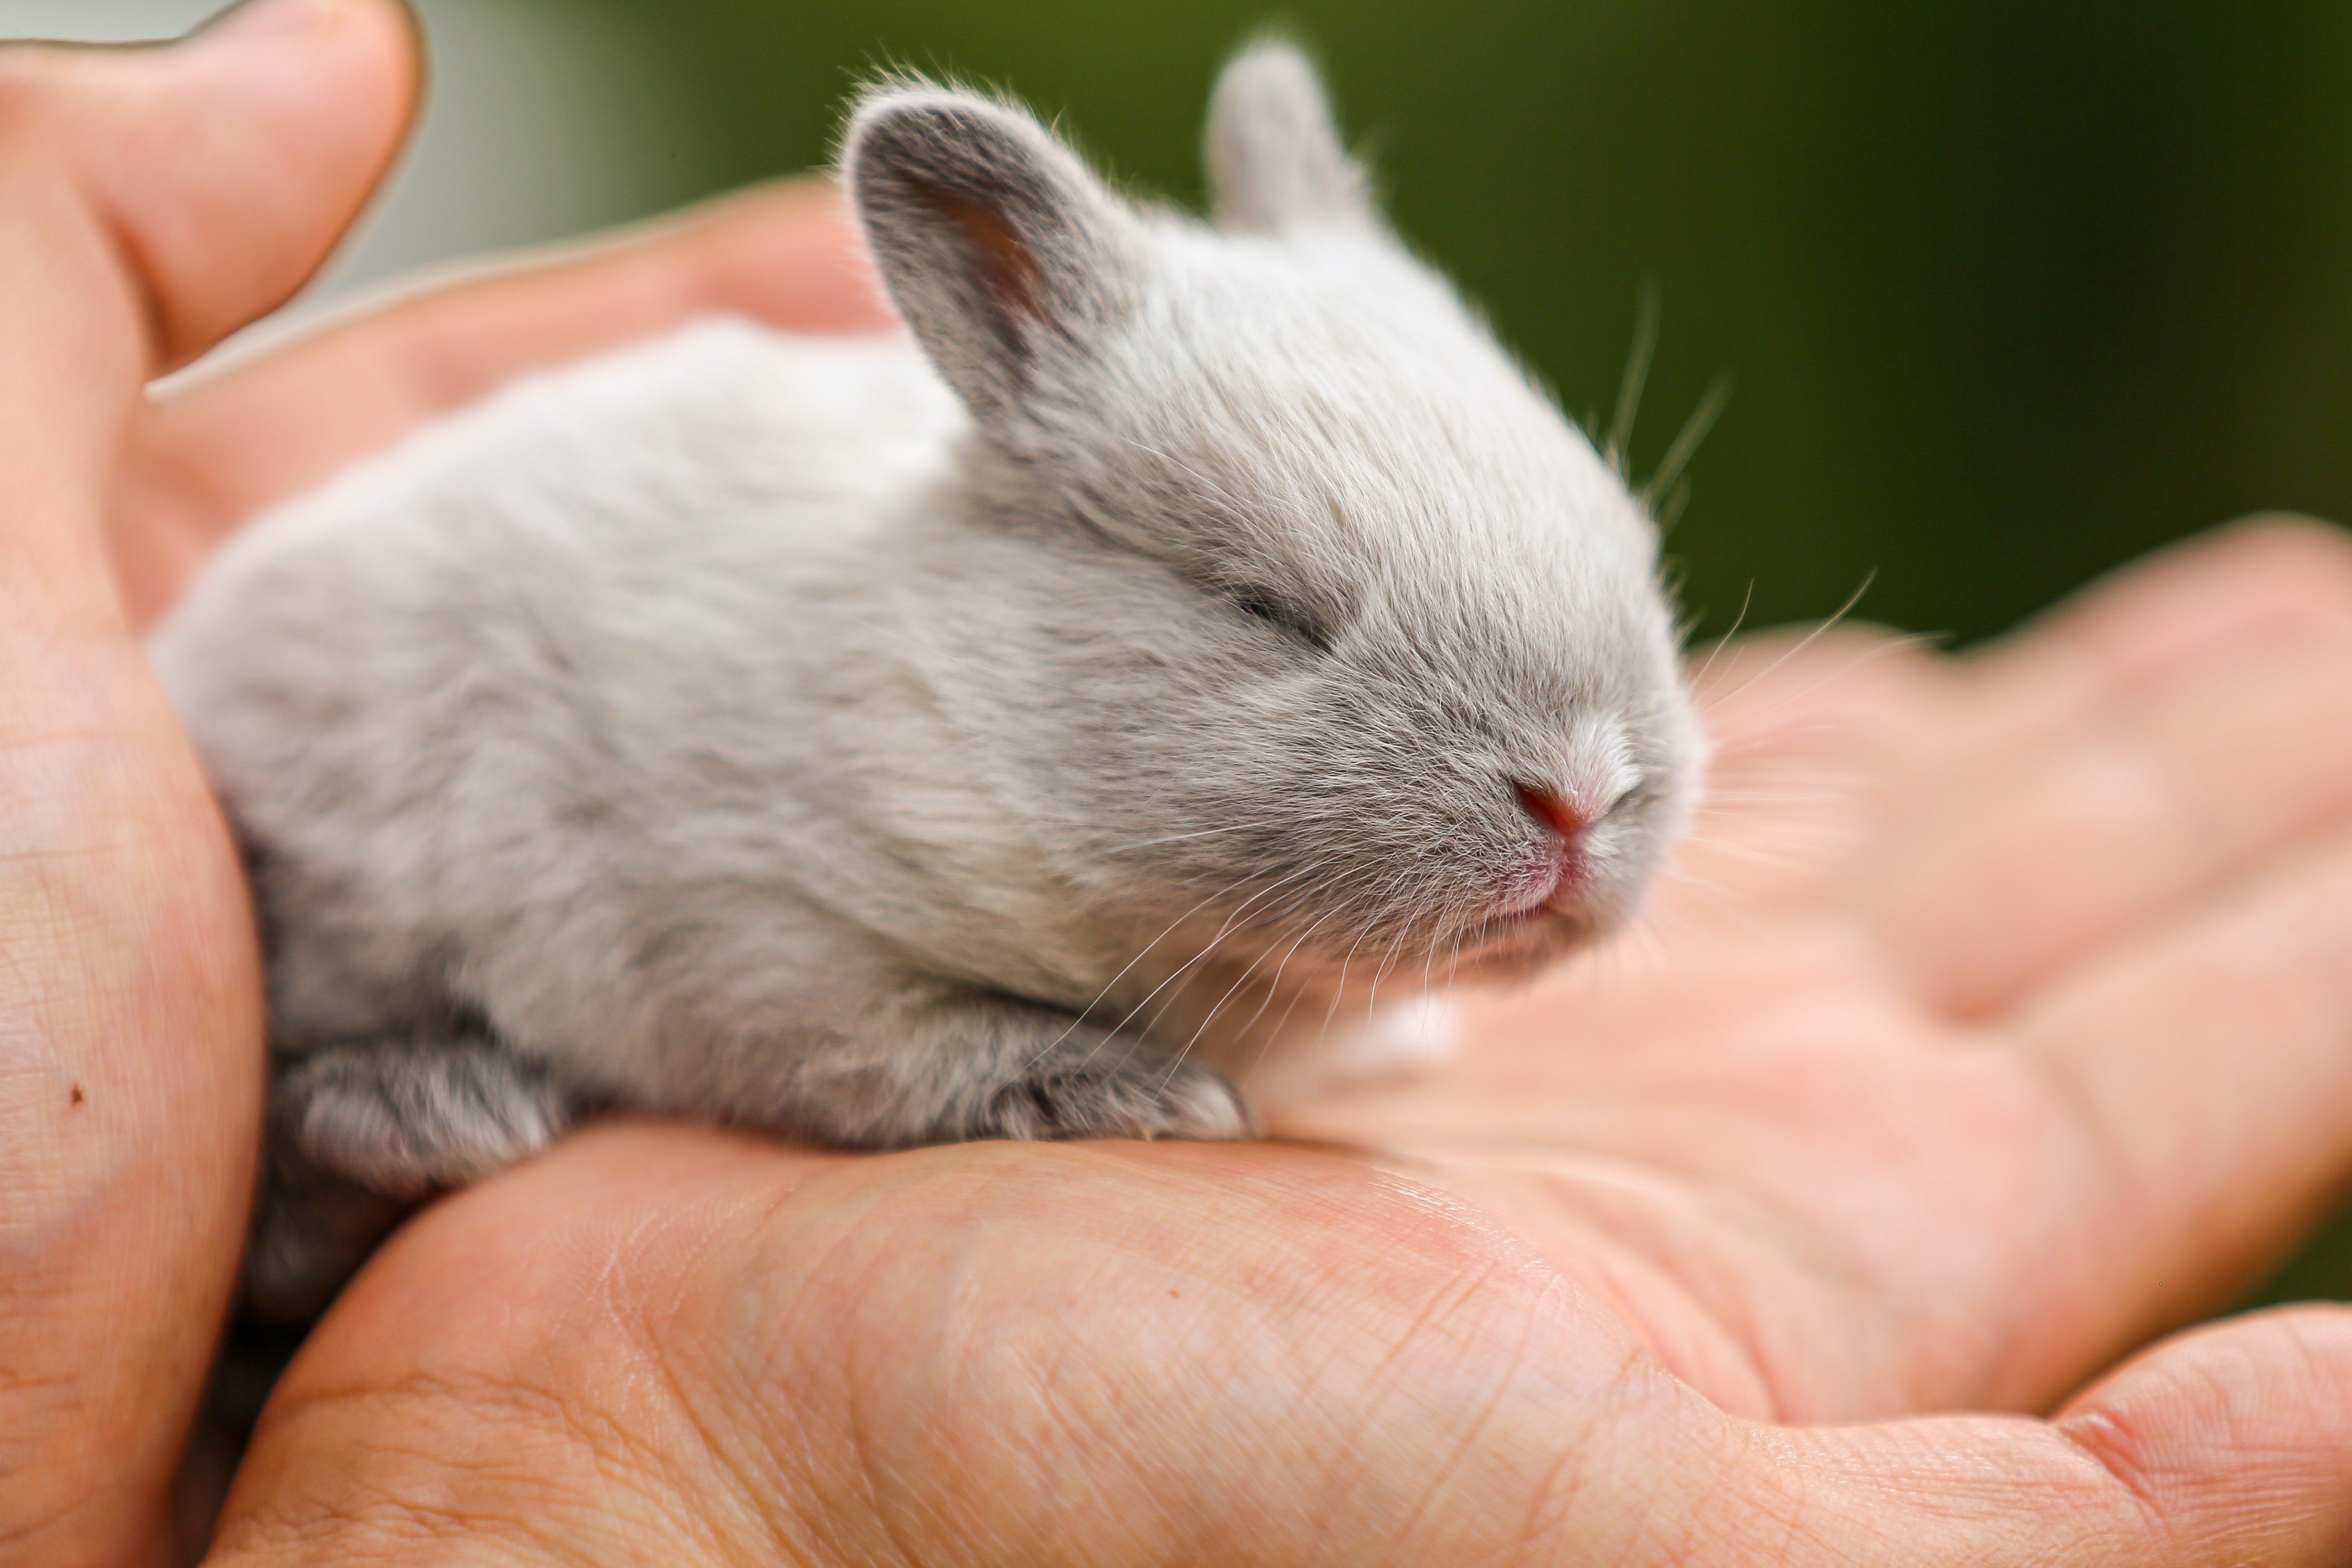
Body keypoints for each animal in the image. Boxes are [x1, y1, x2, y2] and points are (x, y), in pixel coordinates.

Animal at [151, 46, 1712, 1325]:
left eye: (1630, 544)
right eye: (1263, 607)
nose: (1577, 799)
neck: (977, 708)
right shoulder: (747, 932)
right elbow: (884, 1048)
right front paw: (1120, 1091)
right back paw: (428, 1108)